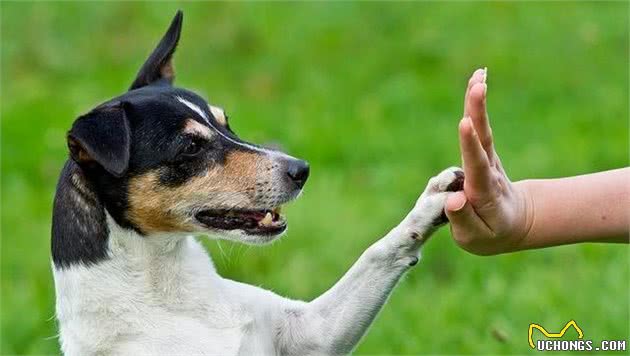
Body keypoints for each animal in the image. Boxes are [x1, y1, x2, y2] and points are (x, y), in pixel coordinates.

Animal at [51, 11, 466, 356]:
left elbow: (377, 253)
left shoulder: (312, 334)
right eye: (190, 146)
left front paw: (432, 203)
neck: (167, 290)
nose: (301, 169)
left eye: (226, 122)